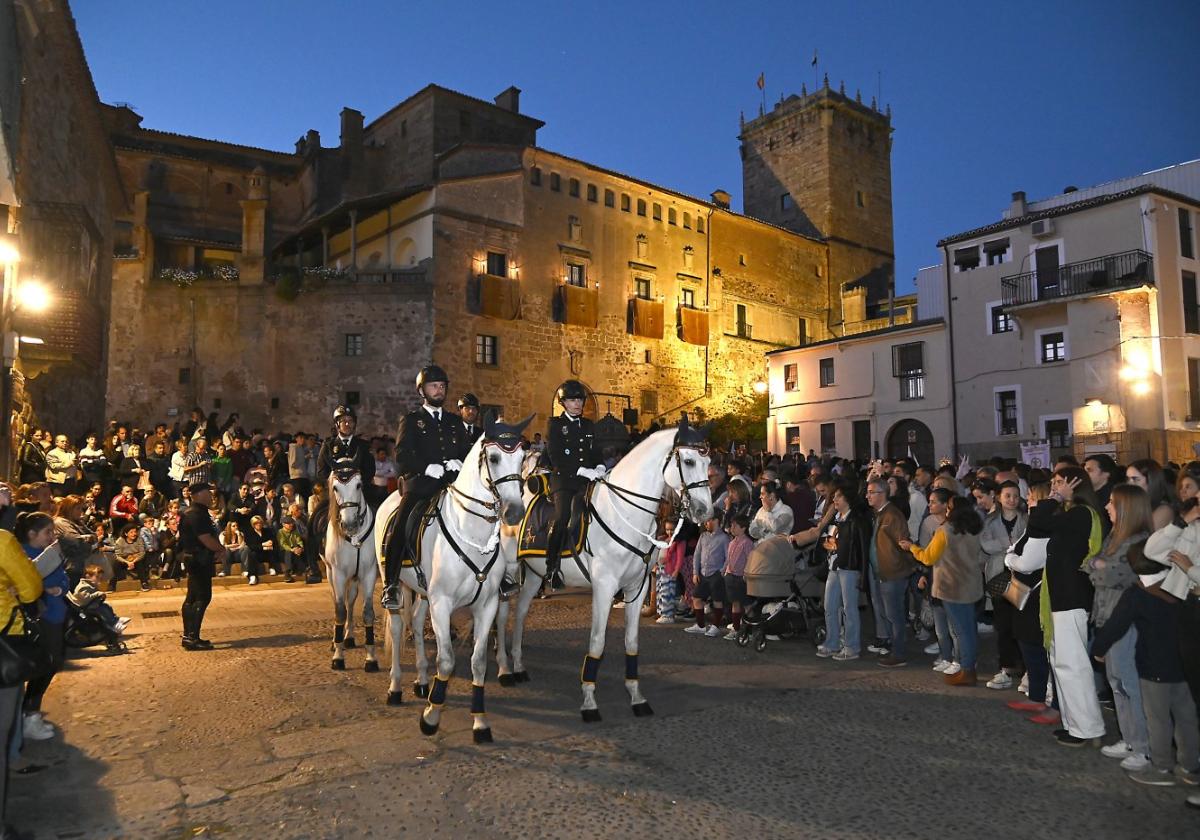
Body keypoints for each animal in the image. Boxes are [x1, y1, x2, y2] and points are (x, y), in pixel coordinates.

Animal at [369, 412, 530, 739]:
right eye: (493, 457)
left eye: (522, 458)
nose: (514, 513)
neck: (472, 529)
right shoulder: (442, 603)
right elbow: (445, 661)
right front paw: (431, 715)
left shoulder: (486, 605)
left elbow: (478, 662)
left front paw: (480, 721)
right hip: (396, 585)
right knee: (397, 627)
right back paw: (396, 687)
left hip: (423, 592)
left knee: (417, 622)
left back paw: (420, 681)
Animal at [492, 427, 705, 720]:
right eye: (689, 461)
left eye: (708, 461)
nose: (706, 510)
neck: (626, 514)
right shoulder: (604, 587)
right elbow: (597, 642)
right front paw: (589, 701)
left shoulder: (636, 587)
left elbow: (631, 642)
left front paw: (637, 698)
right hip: (509, 572)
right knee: (503, 615)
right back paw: (504, 668)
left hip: (535, 575)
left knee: (522, 612)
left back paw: (519, 665)